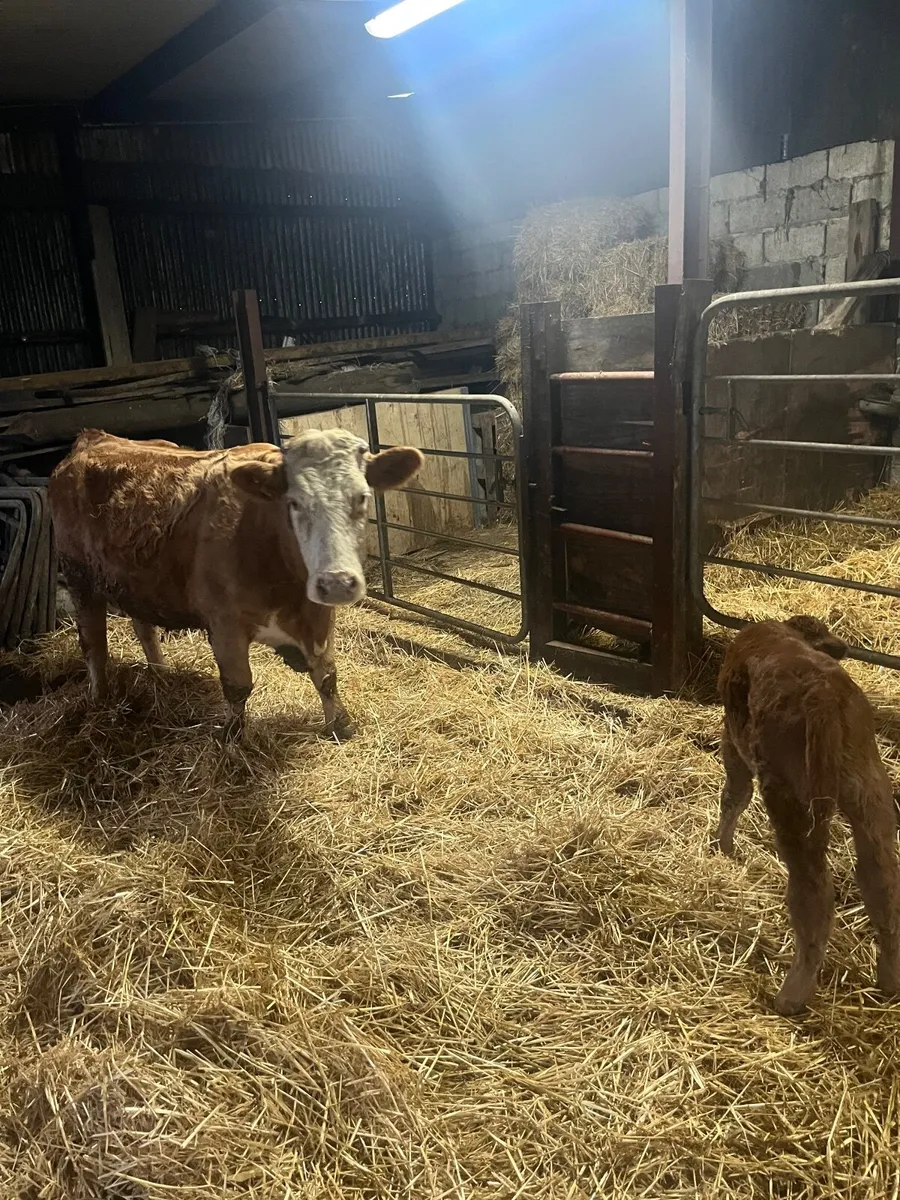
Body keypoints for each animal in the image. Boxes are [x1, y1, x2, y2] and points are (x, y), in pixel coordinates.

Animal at [48, 428, 423, 740]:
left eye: (362, 497)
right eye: (294, 502)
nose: (336, 583)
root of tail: (94, 438)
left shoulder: (317, 614)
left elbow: (326, 674)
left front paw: (340, 724)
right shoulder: (225, 623)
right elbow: (238, 685)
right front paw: (231, 736)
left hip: (138, 581)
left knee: (143, 627)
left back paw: (161, 672)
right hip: (80, 578)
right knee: (94, 645)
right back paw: (99, 697)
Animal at [713, 614, 900, 1014]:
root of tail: (824, 696)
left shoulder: (732, 738)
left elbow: (735, 794)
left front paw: (723, 846)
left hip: (792, 799)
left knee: (813, 890)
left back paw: (791, 996)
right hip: (869, 786)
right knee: (881, 878)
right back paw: (890, 979)